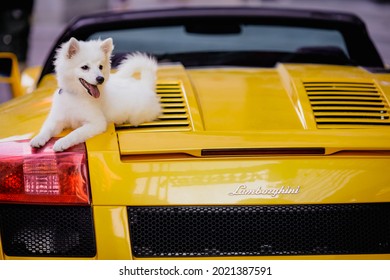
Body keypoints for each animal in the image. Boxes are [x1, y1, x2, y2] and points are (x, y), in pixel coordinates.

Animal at [28, 37, 160, 152]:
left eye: (100, 67)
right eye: (85, 67)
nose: (100, 78)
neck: (77, 96)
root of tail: (145, 84)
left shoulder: (96, 123)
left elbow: (76, 133)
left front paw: (63, 142)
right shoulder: (57, 120)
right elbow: (47, 128)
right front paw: (38, 138)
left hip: (138, 114)